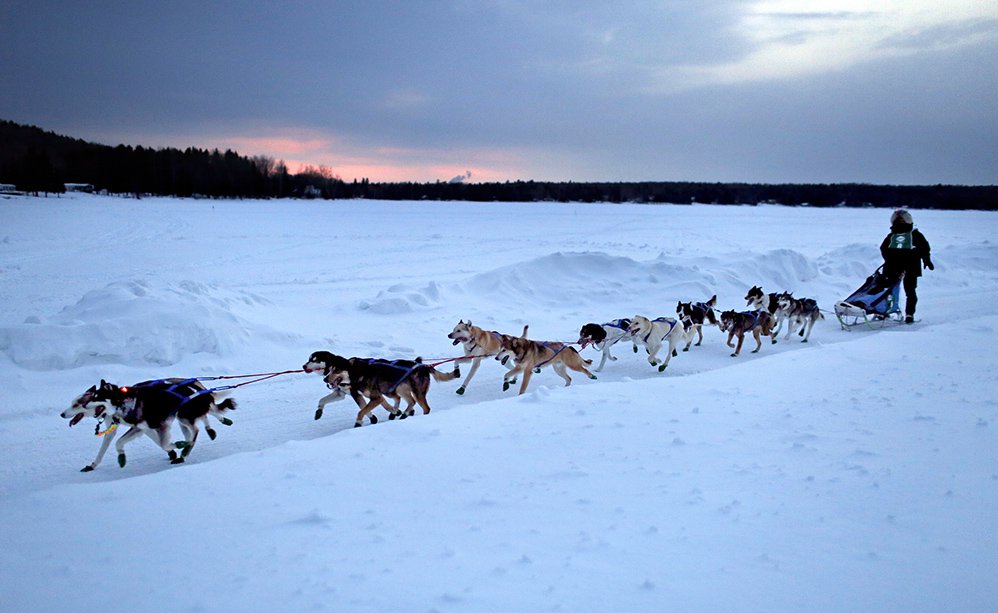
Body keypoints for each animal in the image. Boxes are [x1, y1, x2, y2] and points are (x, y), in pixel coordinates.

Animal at [61, 376, 238, 470]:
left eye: (77, 404)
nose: (62, 414)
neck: (125, 402)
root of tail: (199, 389)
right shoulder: (138, 428)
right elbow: (116, 443)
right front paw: (107, 461)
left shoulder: (157, 426)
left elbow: (164, 443)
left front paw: (175, 447)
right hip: (183, 419)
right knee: (199, 424)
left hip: (183, 417)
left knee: (196, 429)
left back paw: (186, 448)